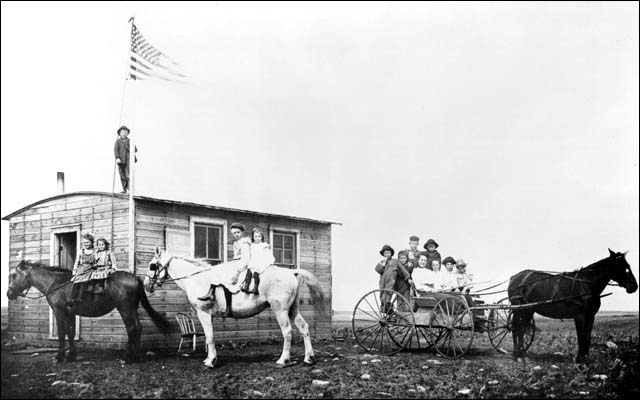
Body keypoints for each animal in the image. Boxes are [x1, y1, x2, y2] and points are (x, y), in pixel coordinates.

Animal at [6, 260, 171, 362]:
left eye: (13, 275)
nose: (9, 294)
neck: (56, 283)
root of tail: (135, 278)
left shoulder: (59, 312)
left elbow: (62, 333)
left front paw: (60, 356)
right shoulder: (70, 313)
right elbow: (70, 332)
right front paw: (71, 356)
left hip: (125, 309)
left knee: (132, 329)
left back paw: (128, 357)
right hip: (132, 309)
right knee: (138, 327)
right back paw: (135, 356)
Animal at [142, 247, 322, 368]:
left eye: (152, 265)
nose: (146, 285)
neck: (197, 279)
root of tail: (291, 273)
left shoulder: (203, 313)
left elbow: (209, 337)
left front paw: (210, 361)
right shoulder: (209, 316)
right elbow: (209, 337)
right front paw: (210, 357)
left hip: (281, 310)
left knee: (287, 332)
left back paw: (283, 359)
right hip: (292, 310)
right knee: (304, 328)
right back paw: (309, 358)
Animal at [352, 248, 636, 360]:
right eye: (623, 267)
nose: (634, 287)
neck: (584, 284)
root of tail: (515, 277)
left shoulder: (589, 316)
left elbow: (586, 337)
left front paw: (584, 359)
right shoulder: (580, 315)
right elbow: (582, 337)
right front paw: (580, 360)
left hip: (525, 309)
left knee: (517, 328)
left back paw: (519, 353)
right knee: (517, 328)